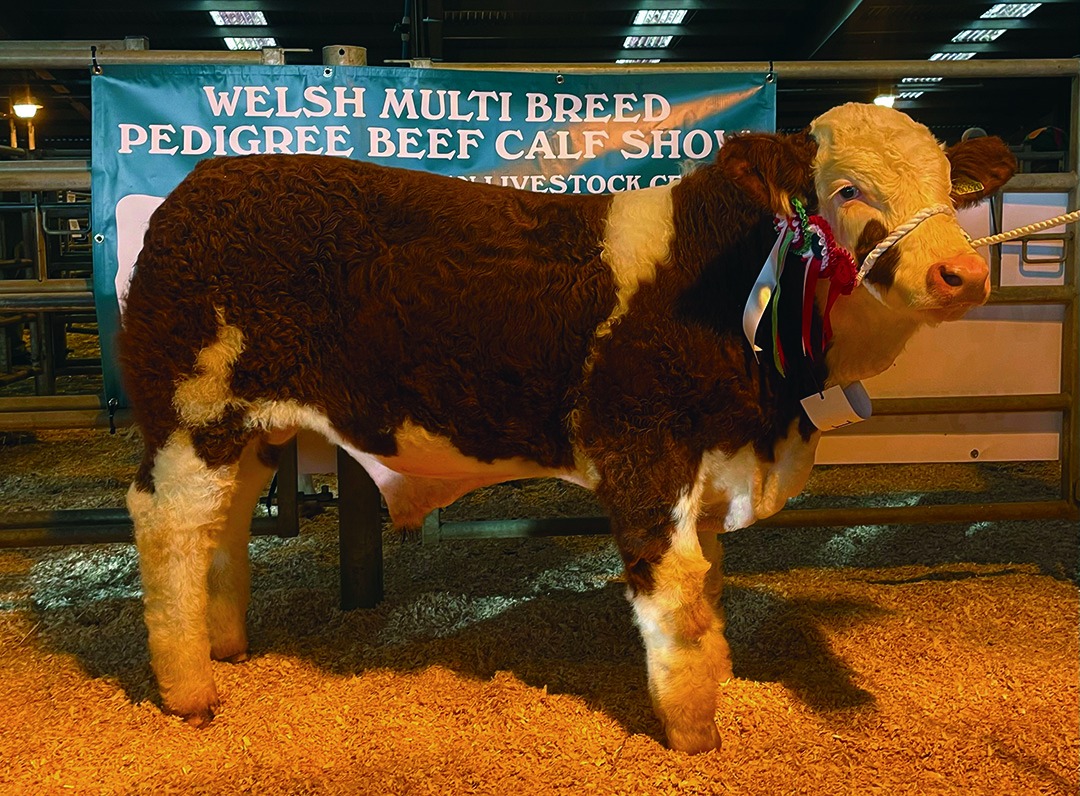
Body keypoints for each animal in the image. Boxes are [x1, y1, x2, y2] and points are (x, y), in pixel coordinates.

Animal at [118, 102, 1016, 753]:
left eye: (948, 183)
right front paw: (692, 734)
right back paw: (190, 691)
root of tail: (201, 185)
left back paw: (227, 645)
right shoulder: (645, 453)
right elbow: (680, 598)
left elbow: (712, 589)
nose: (961, 273)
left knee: (224, 521)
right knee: (168, 527)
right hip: (189, 413)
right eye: (848, 188)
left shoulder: (711, 463)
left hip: (246, 428)